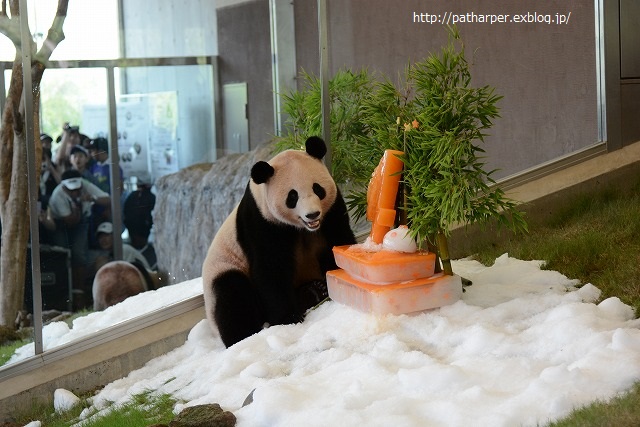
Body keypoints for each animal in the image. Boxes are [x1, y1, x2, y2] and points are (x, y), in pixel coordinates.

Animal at [204, 137, 358, 348]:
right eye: (292, 196)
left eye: (317, 188)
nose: (312, 214)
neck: (303, 228)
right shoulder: (262, 220)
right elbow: (270, 267)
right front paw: (289, 318)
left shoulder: (332, 209)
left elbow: (339, 240)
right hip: (223, 268)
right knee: (232, 294)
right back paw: (243, 336)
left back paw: (314, 291)